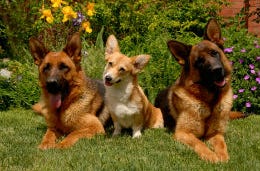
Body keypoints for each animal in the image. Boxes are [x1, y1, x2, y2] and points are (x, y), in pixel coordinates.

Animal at [154, 19, 244, 162]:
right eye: (199, 61)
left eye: (214, 53)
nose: (217, 70)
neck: (210, 102)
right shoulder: (183, 133)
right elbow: (199, 143)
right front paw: (211, 156)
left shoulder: (216, 133)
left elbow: (221, 144)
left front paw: (223, 156)